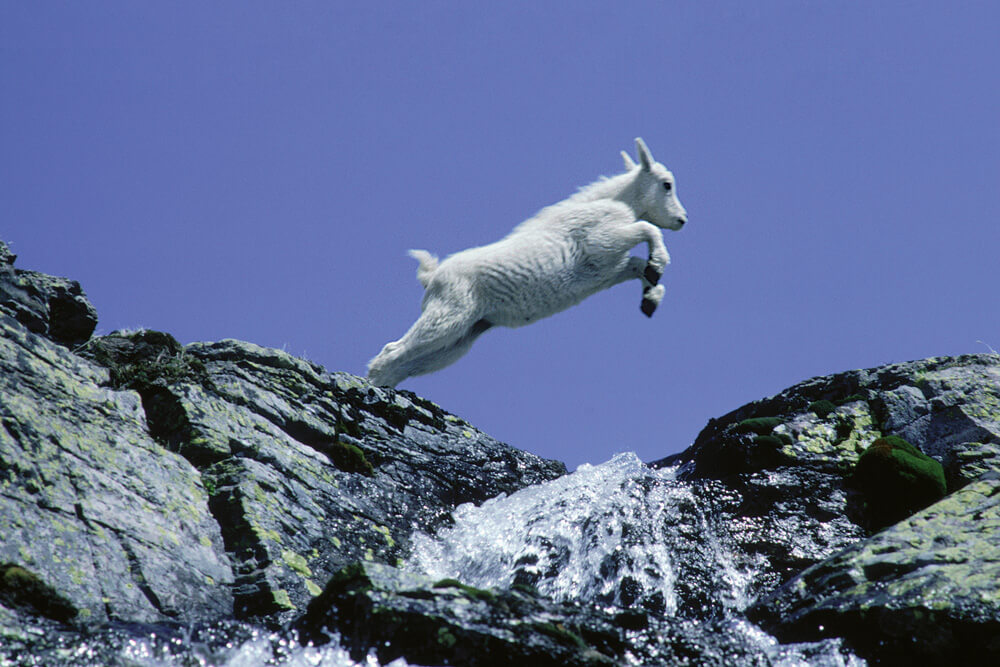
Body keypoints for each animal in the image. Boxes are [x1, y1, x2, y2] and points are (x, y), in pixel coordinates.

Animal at [367, 138, 687, 387]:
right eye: (666, 185)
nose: (682, 220)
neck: (620, 203)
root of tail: (432, 277)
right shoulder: (602, 241)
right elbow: (649, 230)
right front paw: (658, 266)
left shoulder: (607, 270)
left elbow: (637, 265)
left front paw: (651, 296)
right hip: (449, 313)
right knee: (392, 351)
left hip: (464, 334)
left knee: (406, 363)